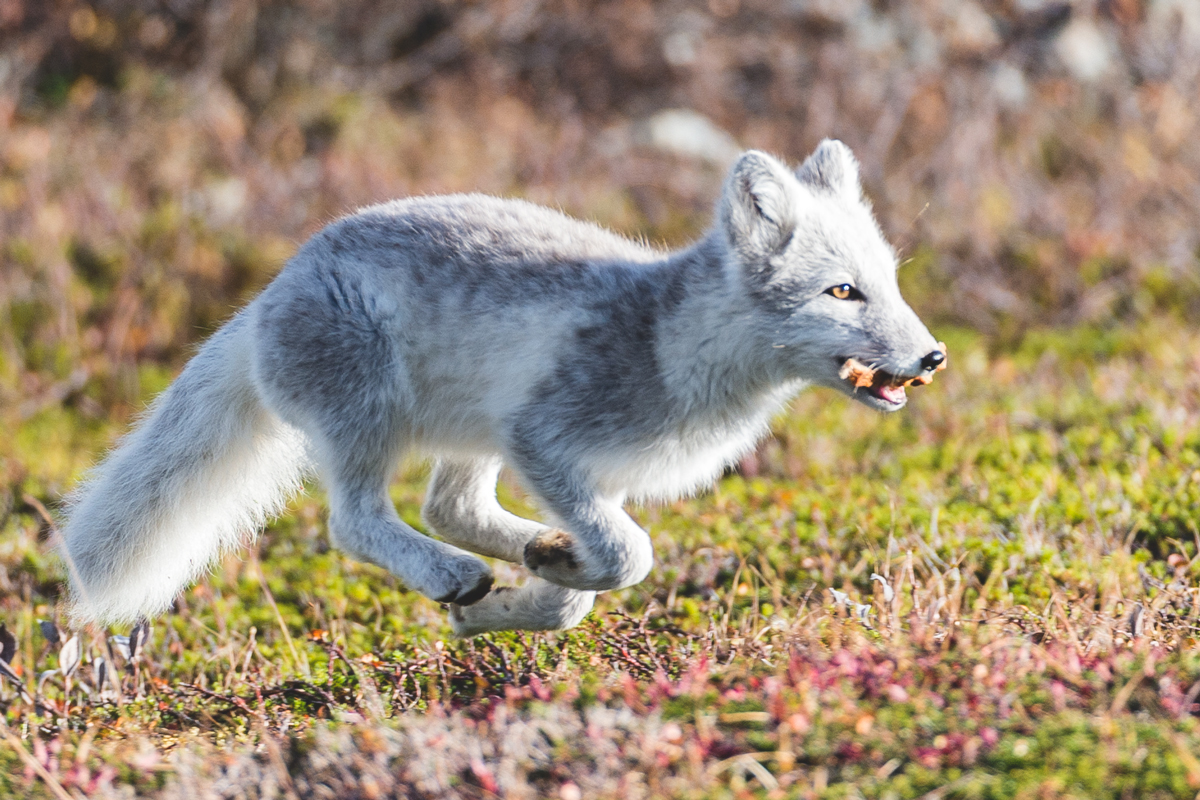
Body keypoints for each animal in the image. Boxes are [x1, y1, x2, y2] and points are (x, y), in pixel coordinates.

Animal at [60, 139, 945, 638]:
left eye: (890, 282)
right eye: (842, 293)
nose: (934, 357)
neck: (672, 341)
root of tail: (268, 292)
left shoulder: (561, 464)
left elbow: (594, 577)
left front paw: (531, 595)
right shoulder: (546, 442)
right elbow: (629, 554)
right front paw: (544, 583)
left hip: (473, 432)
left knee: (447, 508)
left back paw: (517, 562)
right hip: (370, 418)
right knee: (358, 521)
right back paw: (451, 574)